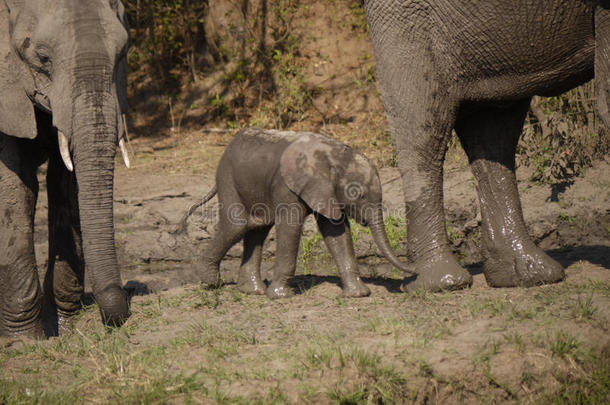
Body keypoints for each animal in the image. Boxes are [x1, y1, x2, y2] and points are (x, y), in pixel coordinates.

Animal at [0, 0, 132, 336]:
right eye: (42, 58)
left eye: (122, 53)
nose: (120, 304)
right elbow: (14, 189)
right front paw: (24, 341)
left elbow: (67, 185)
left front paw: (68, 329)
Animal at [180, 128, 416, 298]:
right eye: (358, 195)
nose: (411, 273)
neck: (331, 155)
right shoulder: (286, 186)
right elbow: (291, 227)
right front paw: (281, 296)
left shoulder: (326, 190)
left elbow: (336, 231)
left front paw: (358, 295)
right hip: (227, 177)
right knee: (237, 225)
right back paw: (211, 282)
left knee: (257, 226)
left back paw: (253, 291)